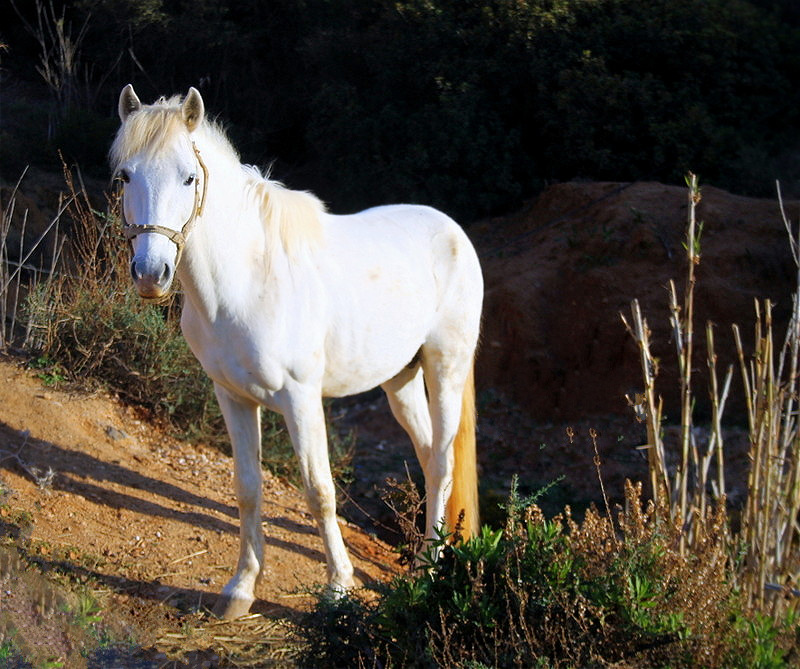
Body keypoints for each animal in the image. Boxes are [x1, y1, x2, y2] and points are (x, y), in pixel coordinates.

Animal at [108, 86, 482, 620]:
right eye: (124, 176)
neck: (246, 280)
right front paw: (240, 590)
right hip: (401, 380)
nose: (150, 274)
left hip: (445, 368)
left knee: (444, 462)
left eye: (189, 176)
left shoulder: (301, 398)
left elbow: (319, 490)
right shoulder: (233, 397)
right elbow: (247, 488)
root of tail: (452, 231)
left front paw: (338, 588)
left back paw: (429, 571)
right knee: (430, 459)